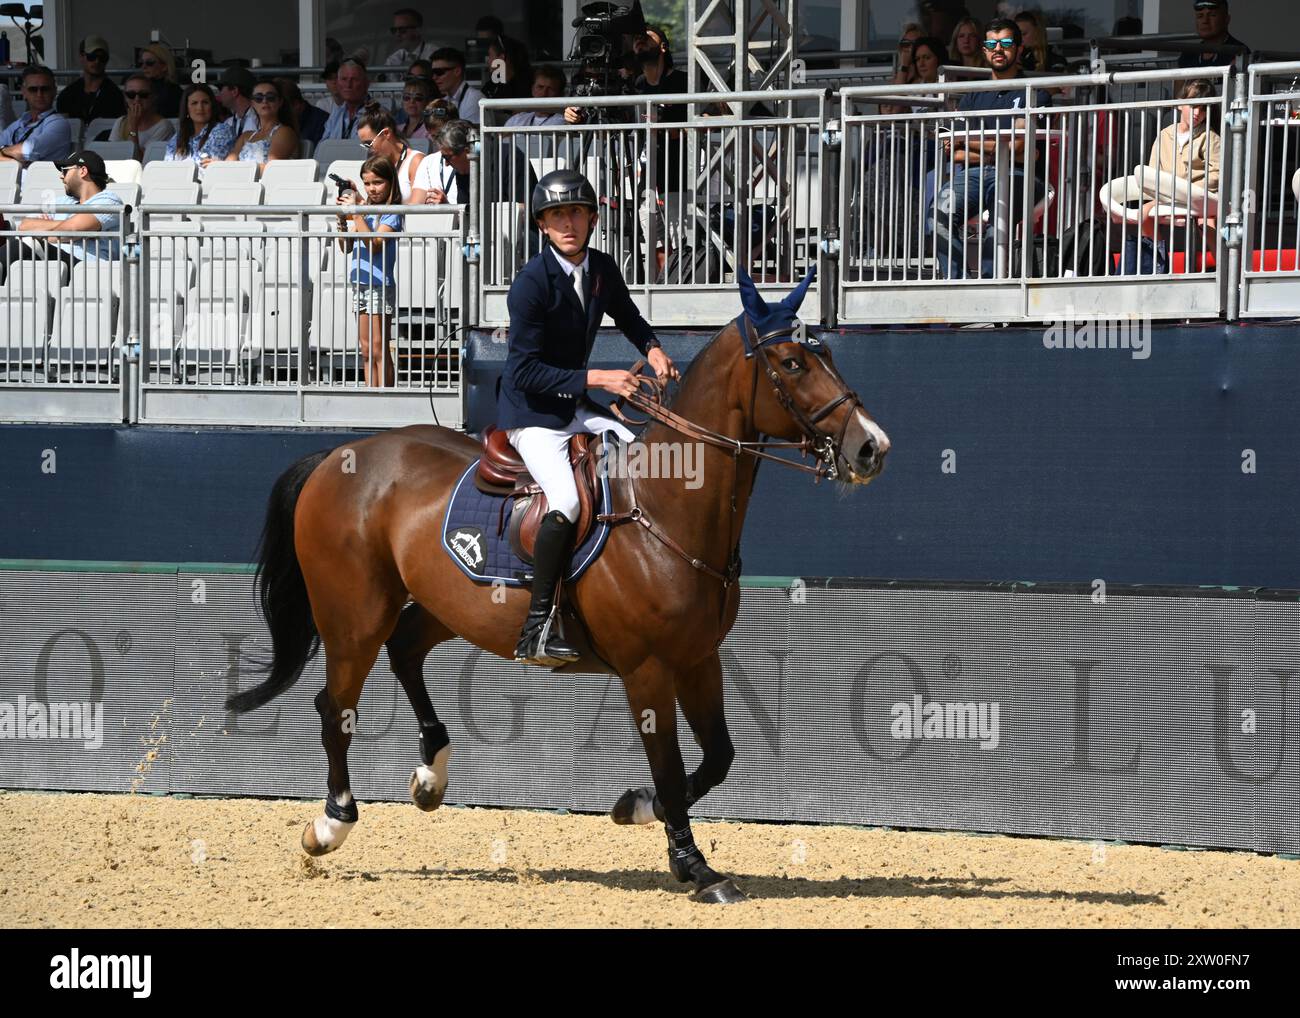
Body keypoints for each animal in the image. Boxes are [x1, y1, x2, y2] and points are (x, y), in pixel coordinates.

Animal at [228, 269, 889, 899]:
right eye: (793, 363)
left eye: (827, 354)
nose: (872, 447)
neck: (666, 509)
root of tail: (340, 455)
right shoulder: (648, 670)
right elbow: (672, 769)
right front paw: (696, 868)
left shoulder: (700, 658)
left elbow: (717, 758)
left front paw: (637, 807)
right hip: (354, 616)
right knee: (335, 705)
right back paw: (329, 824)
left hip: (446, 607)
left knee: (405, 652)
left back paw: (431, 774)